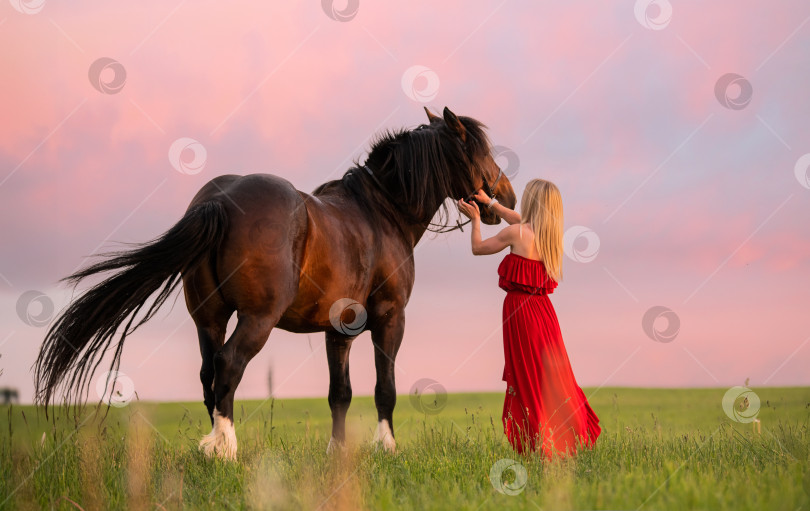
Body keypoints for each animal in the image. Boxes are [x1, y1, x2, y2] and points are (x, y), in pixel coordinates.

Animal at [34, 107, 516, 460]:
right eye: (479, 151)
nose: (507, 197)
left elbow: (340, 394)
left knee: (210, 375)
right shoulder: (390, 318)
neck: (382, 212)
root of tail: (217, 200)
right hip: (257, 320)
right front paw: (387, 447)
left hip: (208, 319)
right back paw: (224, 449)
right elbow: (385, 388)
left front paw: (337, 452)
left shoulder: (339, 331)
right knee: (229, 366)